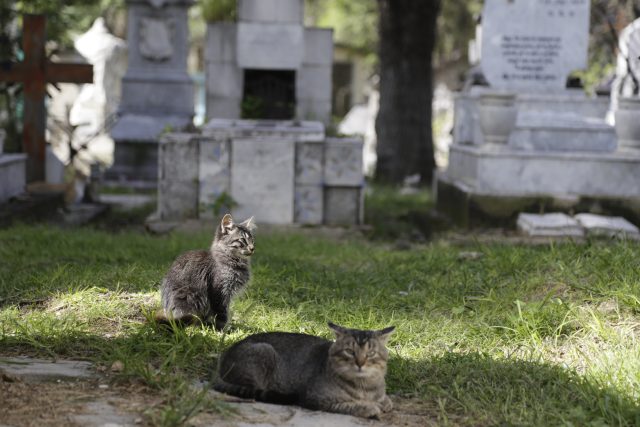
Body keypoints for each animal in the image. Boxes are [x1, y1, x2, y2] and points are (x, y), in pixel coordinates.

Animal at [215, 324, 396, 418]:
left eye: (371, 353)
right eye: (349, 352)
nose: (360, 363)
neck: (365, 386)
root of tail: (225, 353)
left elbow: (386, 401)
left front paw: (382, 402)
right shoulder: (315, 398)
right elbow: (351, 405)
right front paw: (369, 407)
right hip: (264, 351)